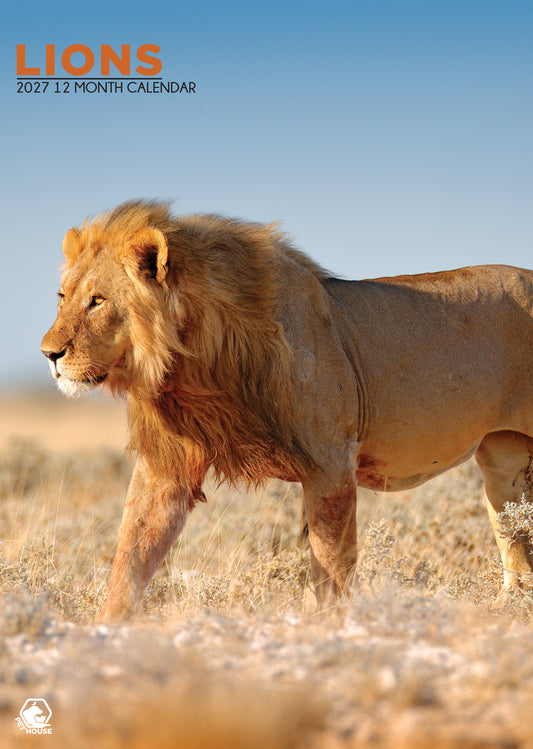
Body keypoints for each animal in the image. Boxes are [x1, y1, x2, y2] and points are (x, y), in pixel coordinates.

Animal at [41, 200, 533, 621]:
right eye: (62, 296)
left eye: (98, 300)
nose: (49, 353)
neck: (191, 361)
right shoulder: (165, 465)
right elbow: (132, 549)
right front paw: (106, 628)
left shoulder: (331, 464)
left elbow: (329, 564)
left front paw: (327, 626)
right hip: (503, 462)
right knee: (515, 539)